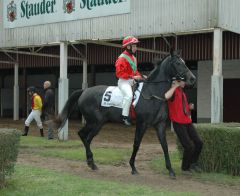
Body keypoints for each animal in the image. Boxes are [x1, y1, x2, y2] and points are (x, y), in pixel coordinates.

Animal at [51, 51, 196, 178]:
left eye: (184, 62)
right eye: (178, 63)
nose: (192, 78)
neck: (152, 93)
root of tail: (84, 91)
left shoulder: (159, 125)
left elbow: (164, 146)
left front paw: (170, 170)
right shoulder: (142, 123)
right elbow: (136, 144)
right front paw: (133, 167)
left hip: (97, 123)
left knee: (85, 137)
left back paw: (91, 162)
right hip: (95, 122)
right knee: (84, 136)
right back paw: (91, 163)